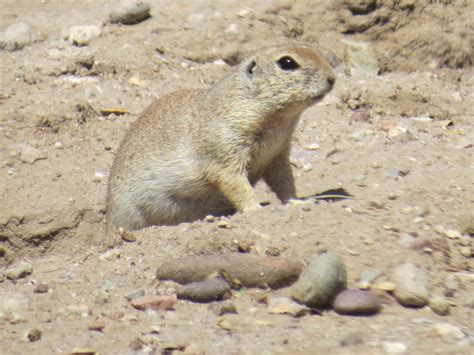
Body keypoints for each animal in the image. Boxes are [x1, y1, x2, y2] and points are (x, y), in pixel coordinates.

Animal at [106, 44, 336, 232]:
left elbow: (284, 181)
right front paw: (256, 208)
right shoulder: (224, 145)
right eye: (287, 63)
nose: (332, 78)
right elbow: (233, 181)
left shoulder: (278, 154)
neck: (280, 121)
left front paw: (300, 202)